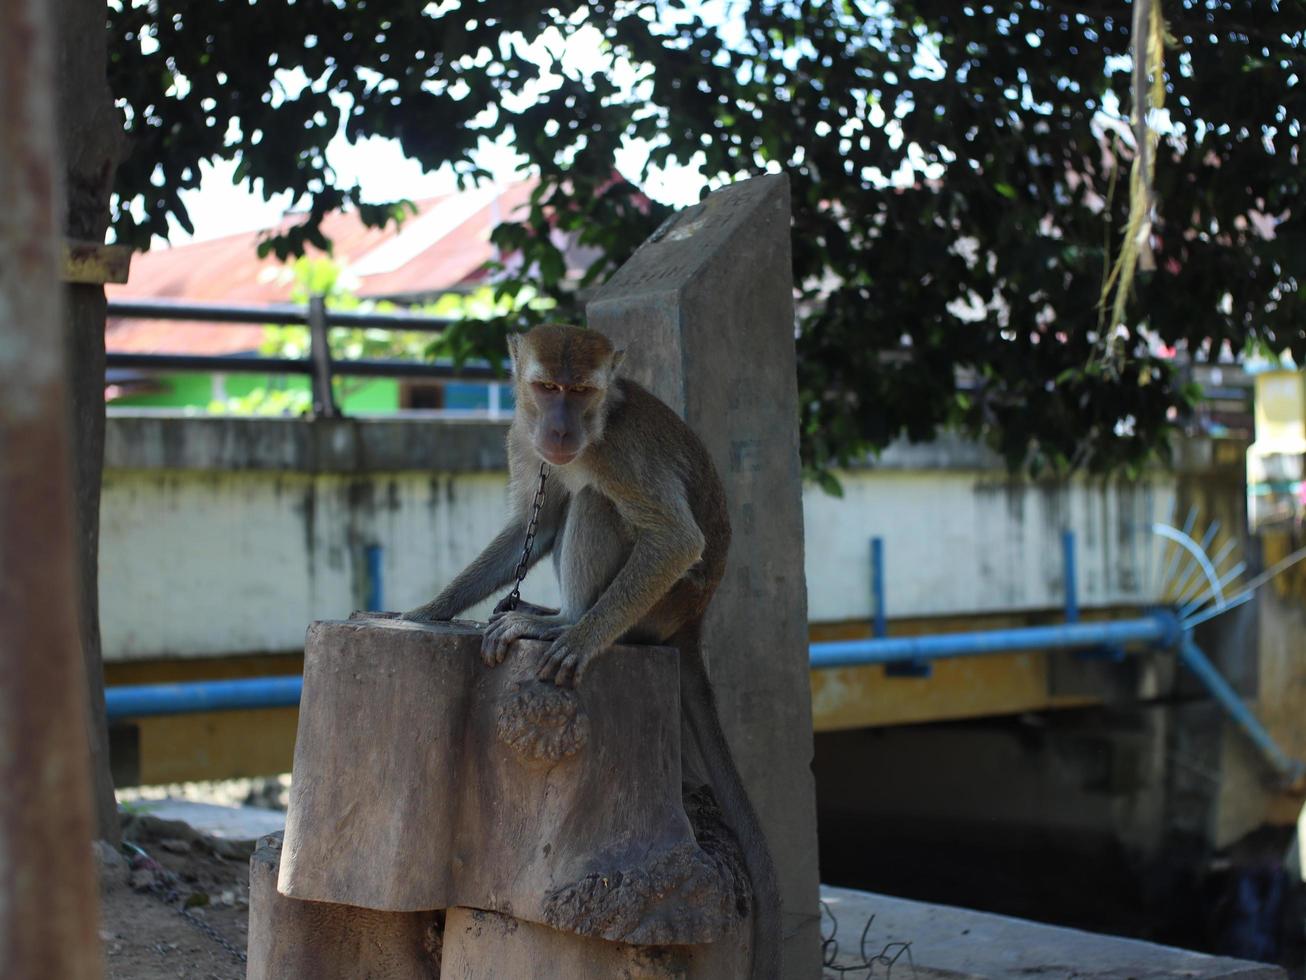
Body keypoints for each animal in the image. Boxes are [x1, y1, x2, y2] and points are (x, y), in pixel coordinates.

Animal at [402, 326, 778, 977]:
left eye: (579, 392)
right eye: (547, 388)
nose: (559, 429)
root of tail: (693, 622)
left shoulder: (620, 453)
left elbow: (675, 539)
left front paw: (577, 638)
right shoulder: (522, 439)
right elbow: (535, 523)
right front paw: (435, 607)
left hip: (658, 606)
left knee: (598, 503)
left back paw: (566, 623)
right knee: (567, 507)